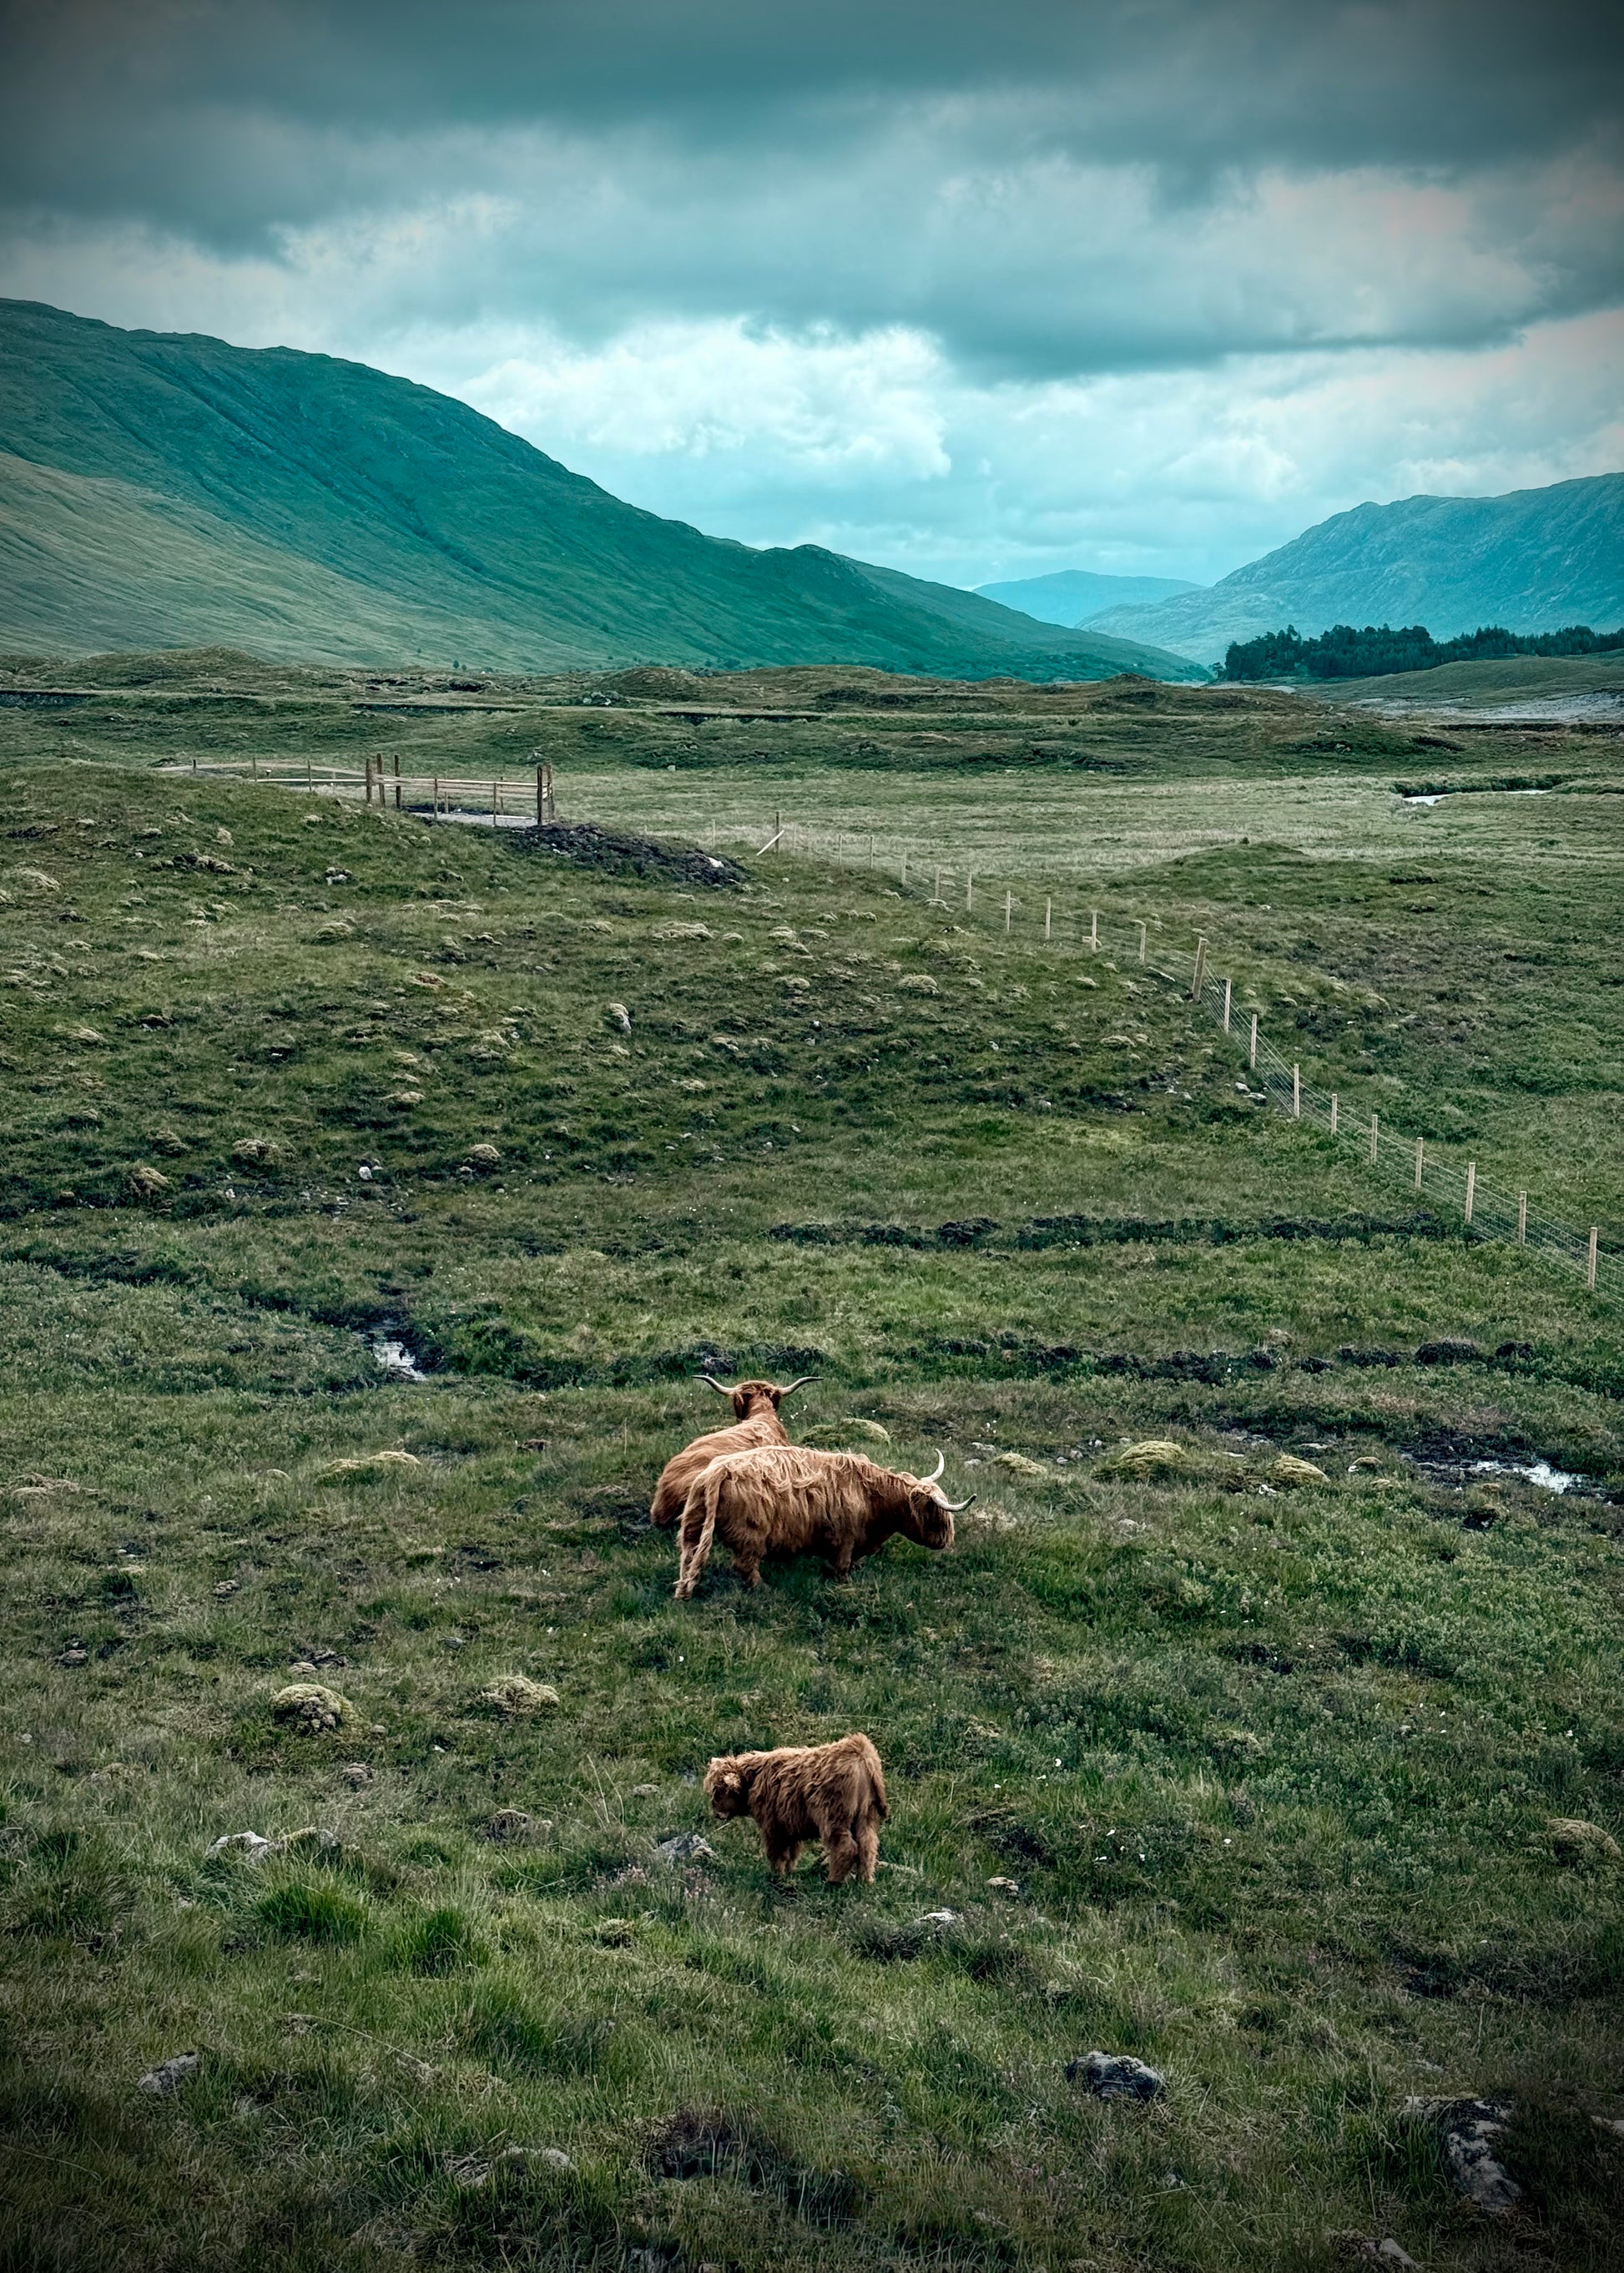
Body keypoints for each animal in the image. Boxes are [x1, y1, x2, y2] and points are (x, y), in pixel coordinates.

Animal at [672, 1444, 971, 1598]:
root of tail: (719, 1470)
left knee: (688, 1556)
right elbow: (842, 1565)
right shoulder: (845, 1537)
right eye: (935, 1513)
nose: (946, 1541)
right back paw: (765, 1589)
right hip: (752, 1534)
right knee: (745, 1566)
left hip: (694, 1524)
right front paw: (845, 1584)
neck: (871, 1495)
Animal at [704, 1732, 888, 1883]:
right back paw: (864, 1881)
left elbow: (777, 1854)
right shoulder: (790, 1825)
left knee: (845, 1847)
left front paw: (776, 1875)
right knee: (868, 1845)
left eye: (719, 1792)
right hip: (866, 1814)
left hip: (834, 1815)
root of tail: (858, 1751)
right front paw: (789, 1873)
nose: (717, 1814)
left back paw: (833, 1881)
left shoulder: (773, 1826)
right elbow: (792, 1854)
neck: (754, 1779)